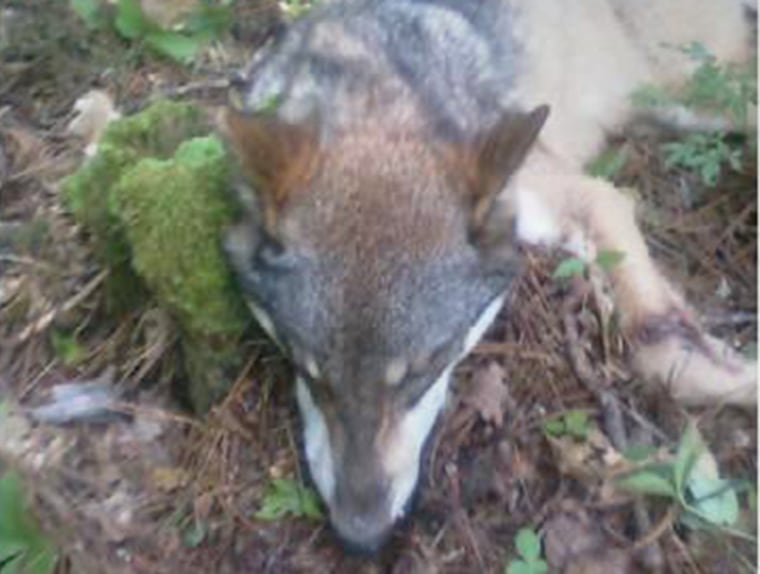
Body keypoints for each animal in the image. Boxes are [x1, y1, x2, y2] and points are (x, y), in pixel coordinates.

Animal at [218, 0, 756, 556]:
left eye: (426, 367)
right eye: (309, 371)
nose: (362, 538)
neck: (379, 102)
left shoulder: (588, 194)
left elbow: (658, 345)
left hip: (697, 94)